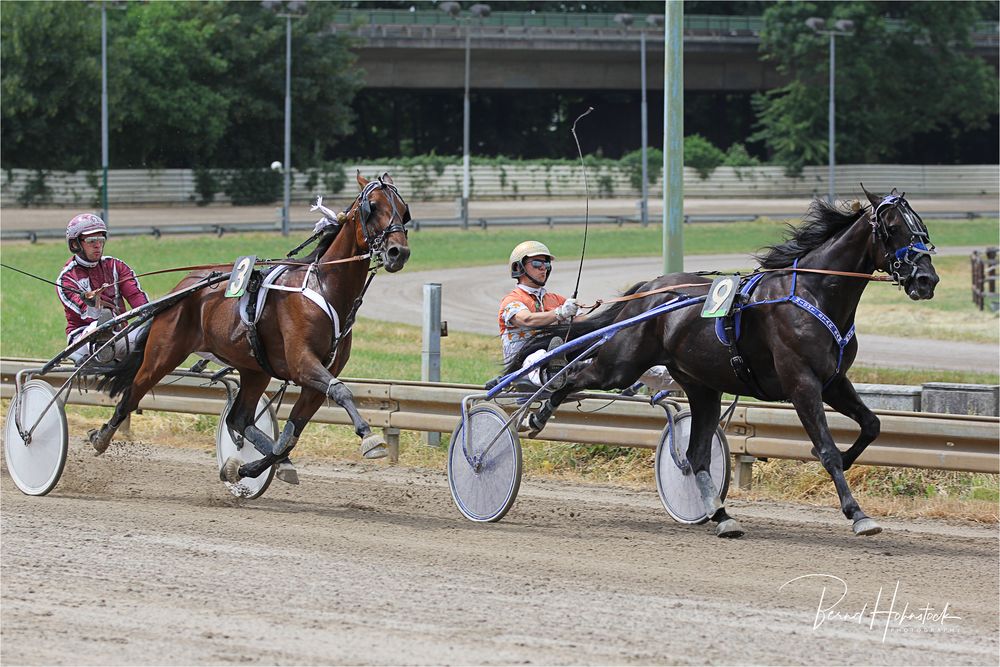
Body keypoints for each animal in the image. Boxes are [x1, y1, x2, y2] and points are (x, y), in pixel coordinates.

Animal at [91, 172, 410, 486]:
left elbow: (289, 438)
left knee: (239, 419)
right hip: (162, 355)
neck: (324, 287)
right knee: (131, 394)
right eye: (372, 207)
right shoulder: (303, 364)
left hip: (255, 369)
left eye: (403, 210)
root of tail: (181, 289)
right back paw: (102, 436)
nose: (399, 252)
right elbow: (342, 392)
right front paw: (369, 438)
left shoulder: (315, 380)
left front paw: (247, 469)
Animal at [512, 187, 940, 536]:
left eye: (922, 227)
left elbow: (872, 425)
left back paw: (721, 516)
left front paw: (846, 461)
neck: (814, 292)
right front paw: (857, 513)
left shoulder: (834, 381)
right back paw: (538, 415)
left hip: (702, 386)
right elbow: (828, 448)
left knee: (696, 455)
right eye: (894, 227)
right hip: (621, 365)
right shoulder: (802, 383)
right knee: (572, 375)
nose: (927, 279)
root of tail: (648, 290)